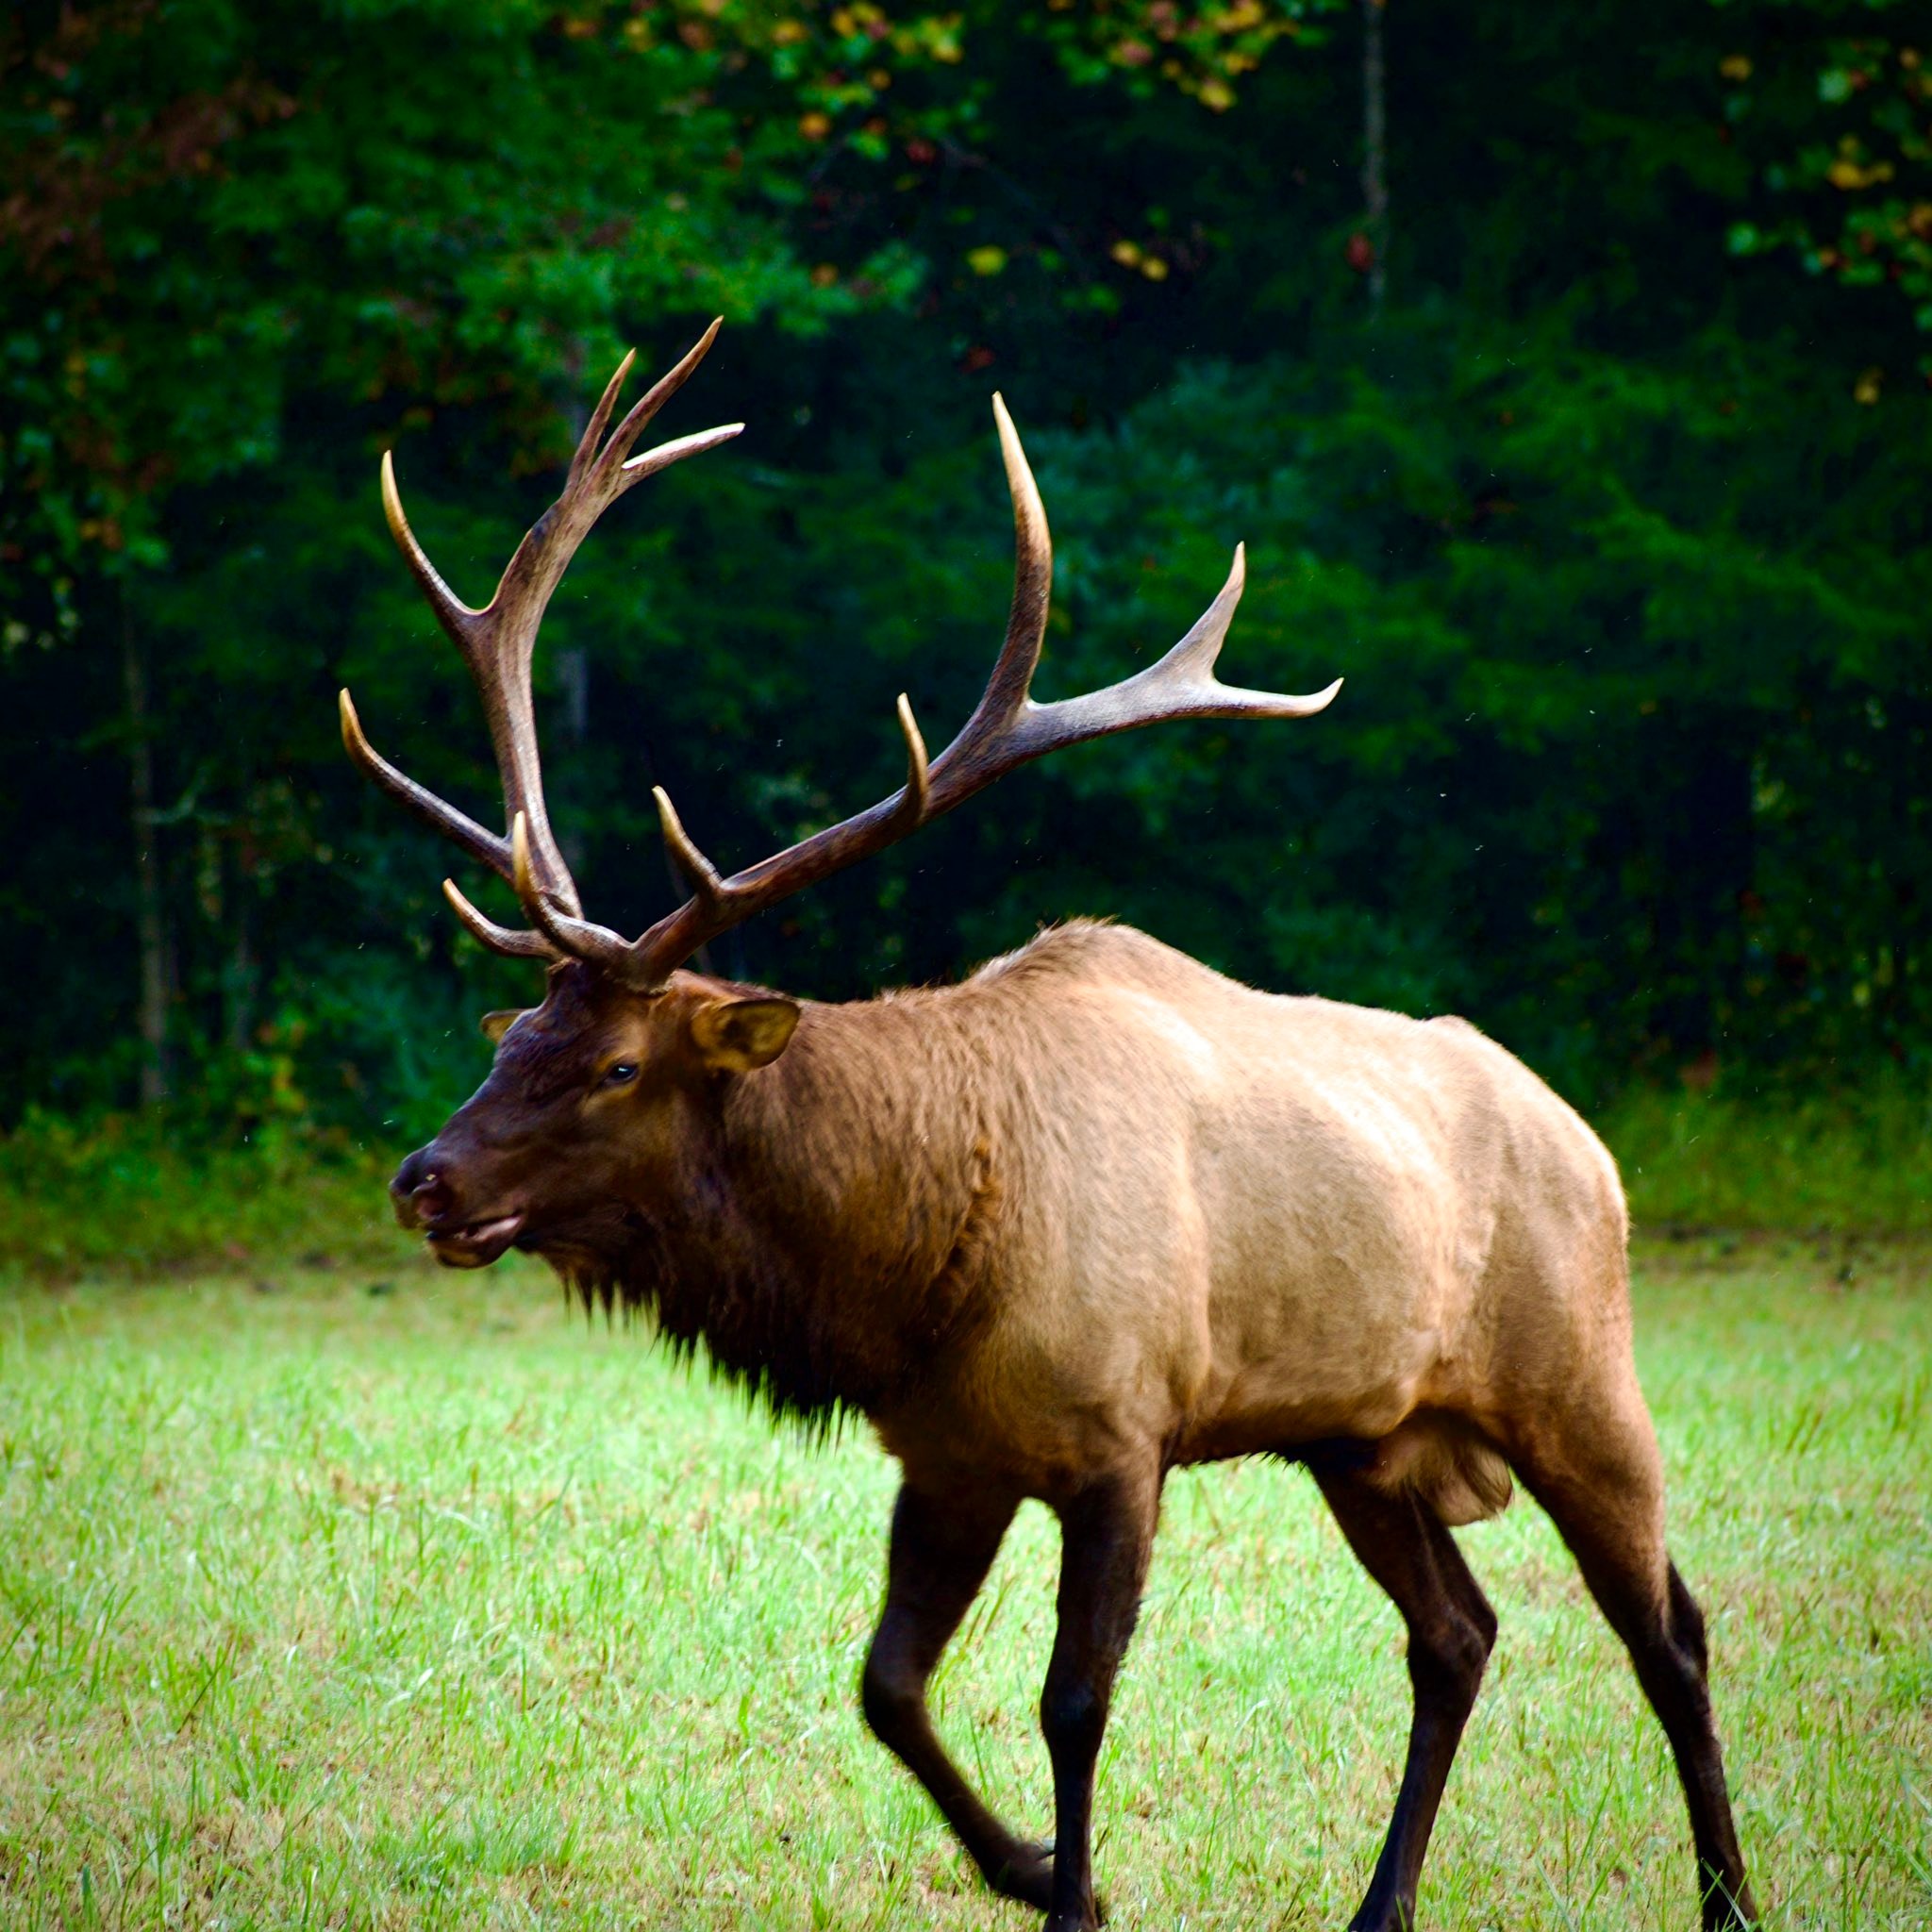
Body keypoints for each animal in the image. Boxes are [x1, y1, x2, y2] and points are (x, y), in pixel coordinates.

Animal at [340, 322, 1756, 1932]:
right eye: (516, 1038)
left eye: (619, 1064)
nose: (424, 1179)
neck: (914, 1264)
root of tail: (1591, 1144)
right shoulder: (951, 1455)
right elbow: (886, 1687)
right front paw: (1024, 1865)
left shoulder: (1119, 1436)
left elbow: (1072, 1704)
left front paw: (1077, 1890)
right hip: (1361, 1437)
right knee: (1458, 1633)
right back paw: (1379, 1903)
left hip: (1579, 1380)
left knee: (1671, 1632)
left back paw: (1726, 1895)